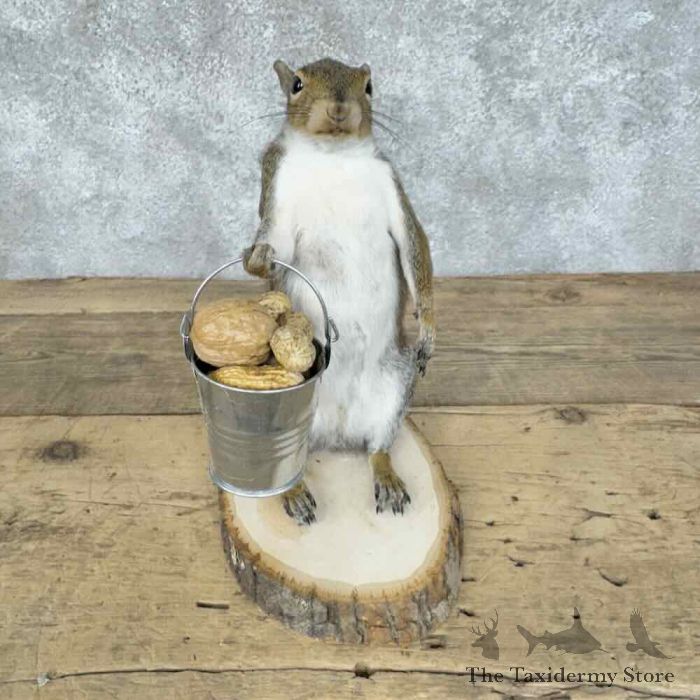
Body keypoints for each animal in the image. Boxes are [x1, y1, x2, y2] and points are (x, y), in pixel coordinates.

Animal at [243, 58, 435, 525]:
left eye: (369, 86)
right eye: (296, 84)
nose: (339, 109)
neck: (333, 158)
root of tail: (336, 433)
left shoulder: (392, 188)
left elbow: (416, 248)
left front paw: (428, 329)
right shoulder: (277, 188)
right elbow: (277, 243)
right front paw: (258, 258)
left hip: (393, 385)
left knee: (377, 447)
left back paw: (386, 477)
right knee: (284, 465)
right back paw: (293, 493)